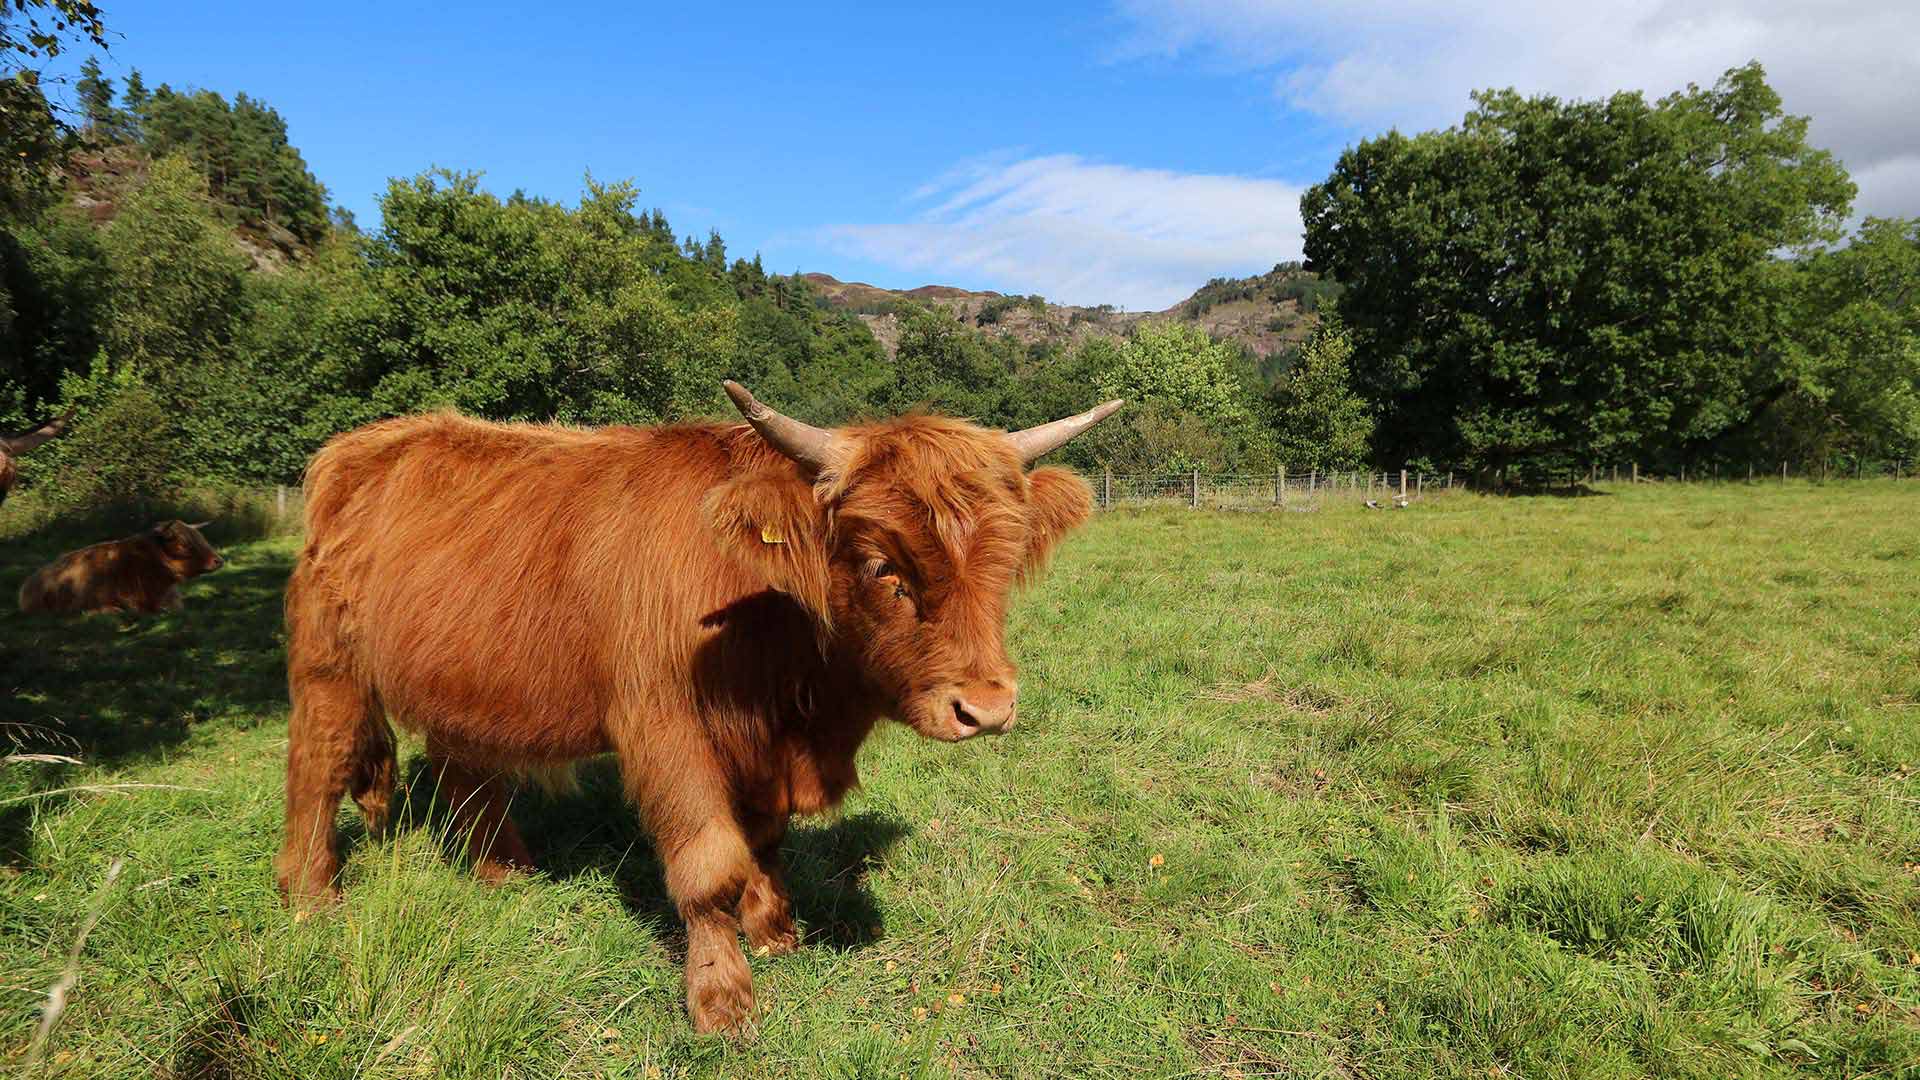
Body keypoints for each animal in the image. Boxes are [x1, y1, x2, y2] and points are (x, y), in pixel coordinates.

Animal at [280, 382, 1121, 1030]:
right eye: (883, 564)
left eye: (1004, 563)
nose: (986, 708)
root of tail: (360, 447)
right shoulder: (666, 727)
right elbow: (710, 863)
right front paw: (722, 997)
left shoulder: (762, 744)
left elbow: (765, 840)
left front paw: (775, 929)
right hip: (330, 668)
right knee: (317, 767)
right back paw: (310, 895)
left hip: (468, 678)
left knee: (467, 771)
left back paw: (503, 872)